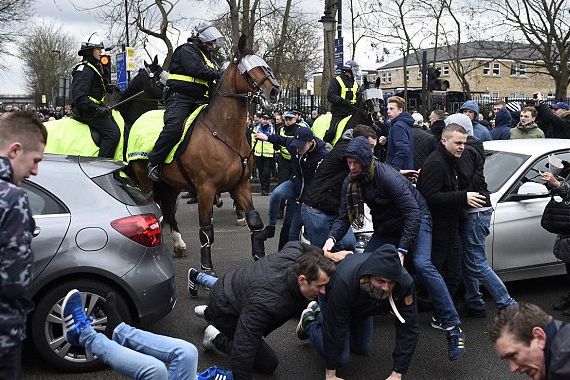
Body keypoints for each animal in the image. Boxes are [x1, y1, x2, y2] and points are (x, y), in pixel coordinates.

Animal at [131, 35, 278, 274]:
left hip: (170, 184)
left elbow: (254, 221)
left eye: (265, 65)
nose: (274, 91)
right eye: (249, 71)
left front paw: (259, 258)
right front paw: (206, 269)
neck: (223, 133)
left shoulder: (241, 185)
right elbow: (206, 229)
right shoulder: (205, 189)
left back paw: (178, 244)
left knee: (169, 209)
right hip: (145, 180)